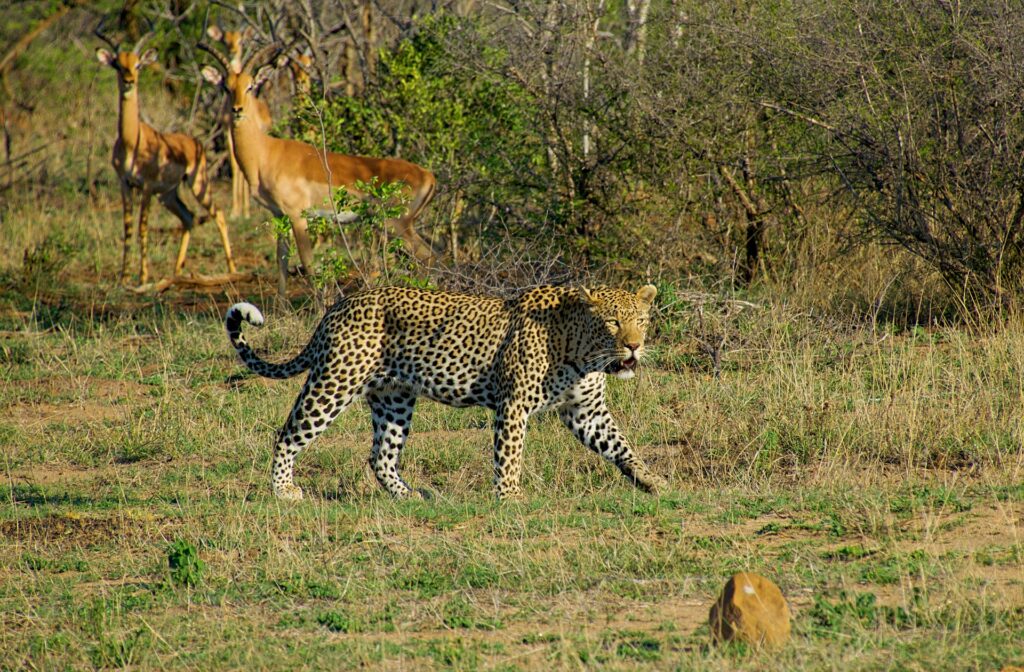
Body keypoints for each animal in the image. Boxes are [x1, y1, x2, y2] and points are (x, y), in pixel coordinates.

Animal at [225, 282, 667, 497]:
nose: (634, 345)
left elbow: (621, 445)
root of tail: (338, 306)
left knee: (380, 456)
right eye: (612, 322)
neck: (584, 352)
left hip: (394, 398)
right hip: (335, 382)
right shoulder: (513, 405)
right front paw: (510, 498)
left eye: (641, 320)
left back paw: (410, 497)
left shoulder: (586, 412)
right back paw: (284, 491)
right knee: (287, 434)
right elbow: (510, 456)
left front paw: (652, 482)